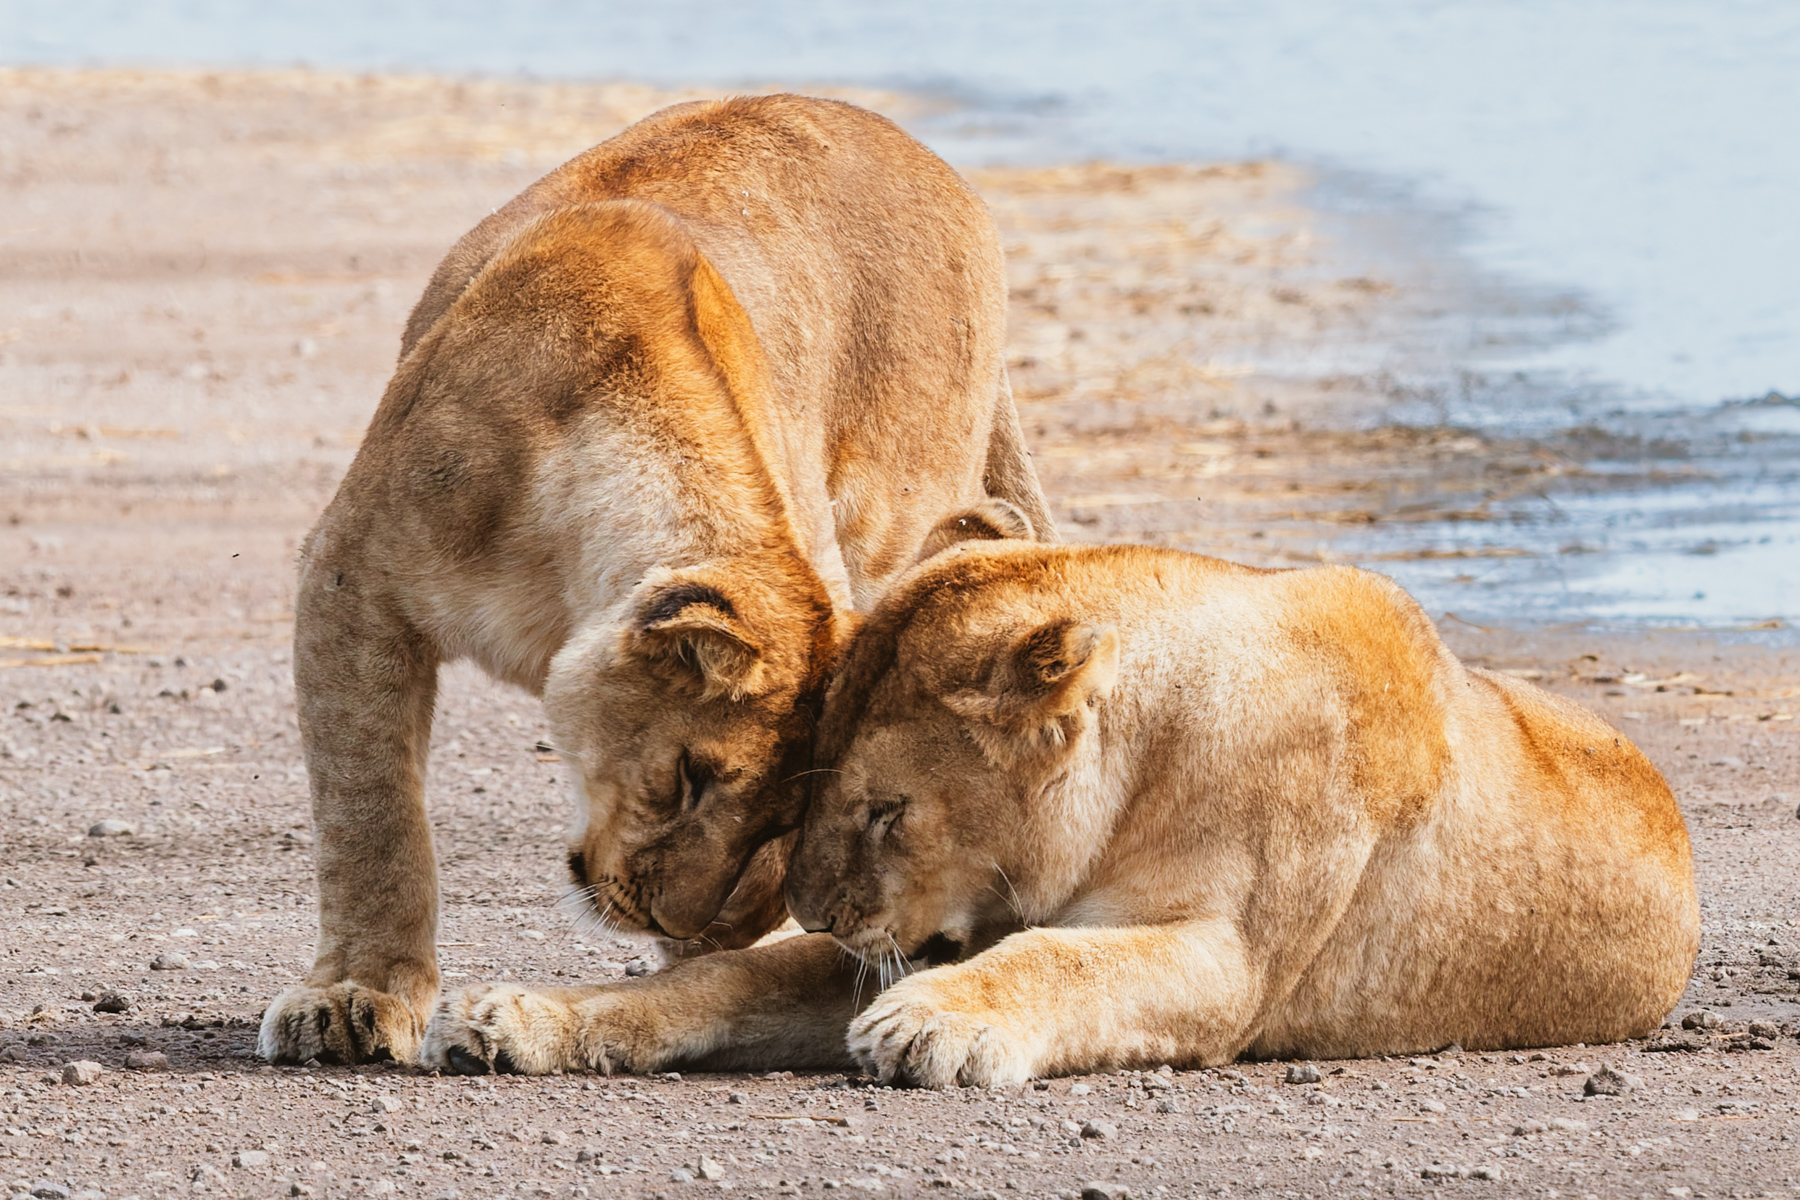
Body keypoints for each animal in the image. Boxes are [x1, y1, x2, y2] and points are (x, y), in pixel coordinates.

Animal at [257, 96, 1054, 1066]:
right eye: (687, 777)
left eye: (781, 817)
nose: (678, 918)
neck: (558, 584)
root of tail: (931, 156)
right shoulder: (353, 578)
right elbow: (370, 816)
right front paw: (355, 996)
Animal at [416, 504, 1697, 1084]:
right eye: (812, 798)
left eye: (886, 811)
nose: (820, 909)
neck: (1152, 763)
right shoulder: (913, 934)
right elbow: (724, 979)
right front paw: (520, 1015)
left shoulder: (1229, 961)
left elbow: (1063, 959)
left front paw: (934, 1023)